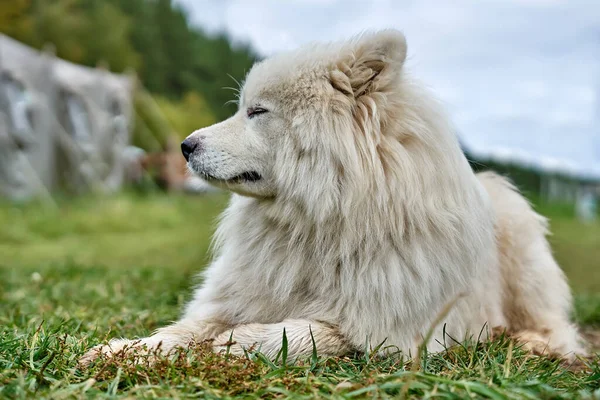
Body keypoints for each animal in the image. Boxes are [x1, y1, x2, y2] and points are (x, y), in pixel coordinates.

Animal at [81, 29, 584, 364]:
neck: (314, 225)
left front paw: (240, 341)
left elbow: (307, 333)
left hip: (521, 243)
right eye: (243, 108)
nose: (186, 146)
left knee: (556, 323)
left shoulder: (391, 331)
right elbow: (179, 331)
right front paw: (115, 351)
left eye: (257, 111)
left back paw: (532, 342)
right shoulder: (233, 297)